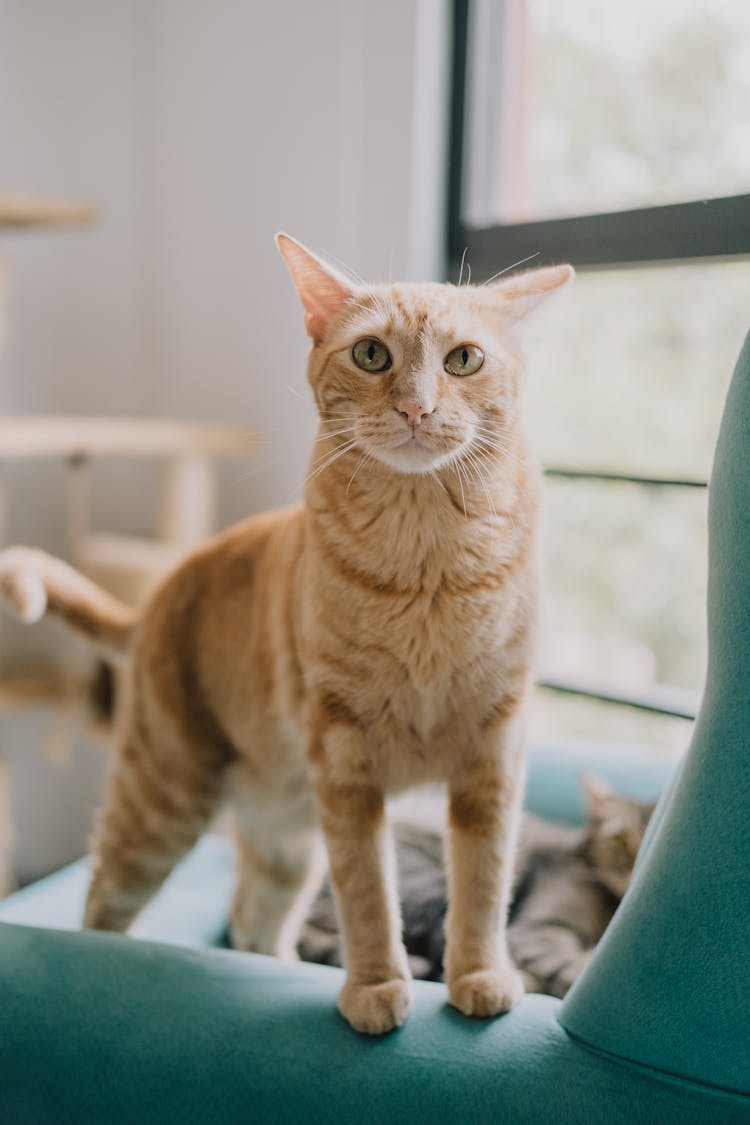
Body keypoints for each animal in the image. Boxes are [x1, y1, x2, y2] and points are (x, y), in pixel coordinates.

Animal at [0, 239, 571, 1035]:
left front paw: (479, 975)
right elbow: (368, 892)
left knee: (251, 922)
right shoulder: (345, 755)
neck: (427, 561)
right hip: (161, 802)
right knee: (99, 907)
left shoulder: (495, 748)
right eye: (371, 354)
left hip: (285, 843)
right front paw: (375, 985)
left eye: (463, 360)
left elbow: (484, 883)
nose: (416, 408)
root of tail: (155, 596)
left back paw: (278, 971)